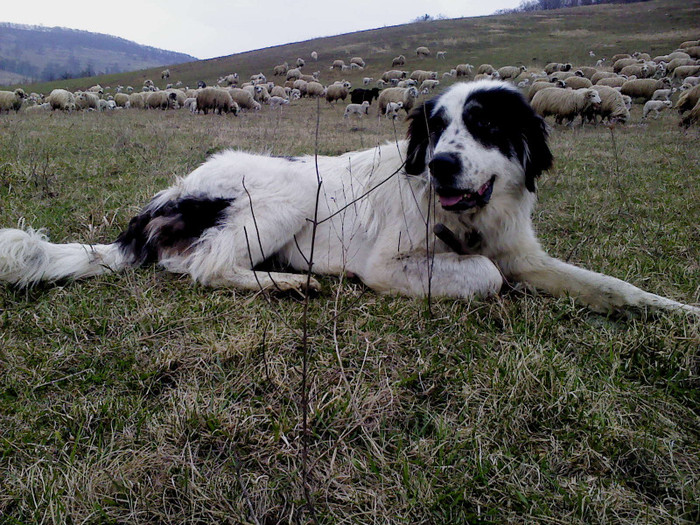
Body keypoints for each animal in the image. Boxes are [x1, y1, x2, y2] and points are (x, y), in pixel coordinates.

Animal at [0, 80, 696, 314]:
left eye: (484, 125)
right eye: (435, 127)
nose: (440, 165)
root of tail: (168, 193)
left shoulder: (527, 255)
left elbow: (612, 286)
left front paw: (672, 310)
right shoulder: (387, 264)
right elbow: (484, 275)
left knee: (186, 263)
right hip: (291, 193)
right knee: (208, 267)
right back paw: (287, 284)